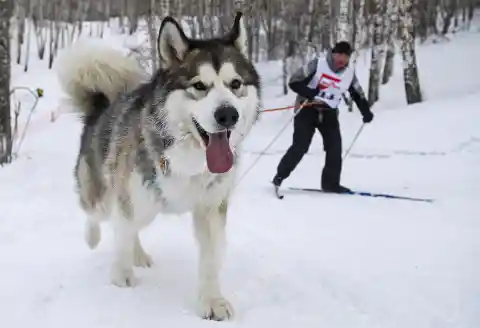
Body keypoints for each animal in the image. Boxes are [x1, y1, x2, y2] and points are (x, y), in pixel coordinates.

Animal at [56, 12, 262, 320]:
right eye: (199, 86)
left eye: (235, 84)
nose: (228, 114)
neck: (189, 161)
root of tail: (100, 108)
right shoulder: (128, 197)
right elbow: (121, 236)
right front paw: (121, 276)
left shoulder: (211, 208)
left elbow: (211, 260)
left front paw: (212, 301)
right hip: (110, 195)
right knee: (98, 215)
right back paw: (94, 238)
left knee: (129, 227)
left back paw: (138, 254)